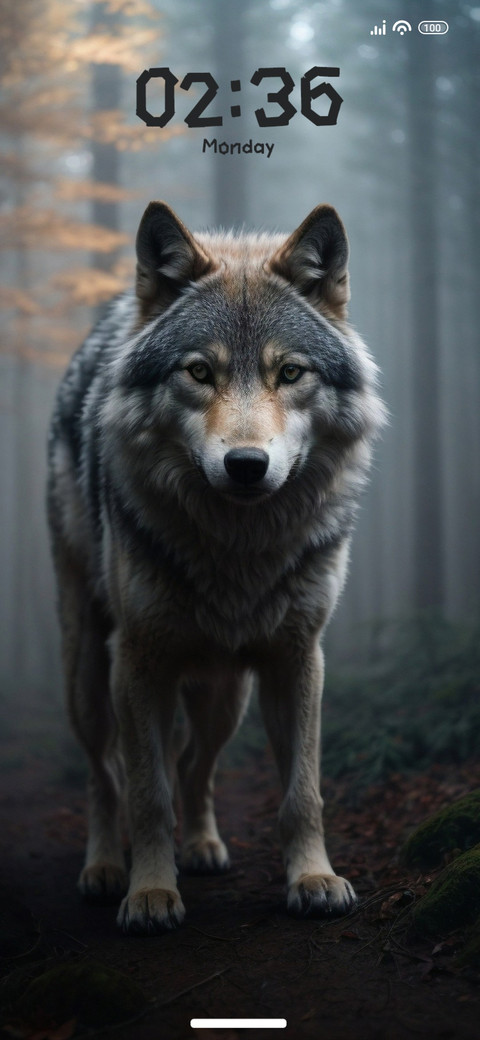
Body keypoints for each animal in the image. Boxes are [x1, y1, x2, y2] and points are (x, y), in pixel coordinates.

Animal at [47, 201, 385, 935]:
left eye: (290, 373)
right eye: (200, 373)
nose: (247, 465)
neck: (238, 551)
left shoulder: (297, 657)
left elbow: (302, 791)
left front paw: (313, 879)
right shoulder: (138, 660)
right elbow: (146, 793)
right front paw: (149, 892)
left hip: (225, 694)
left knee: (193, 764)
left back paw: (202, 845)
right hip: (87, 672)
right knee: (104, 774)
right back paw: (103, 868)